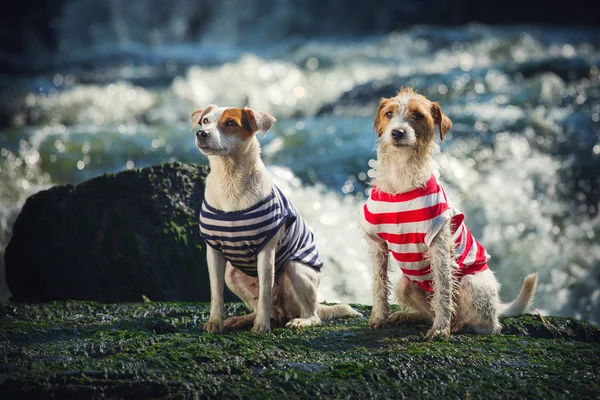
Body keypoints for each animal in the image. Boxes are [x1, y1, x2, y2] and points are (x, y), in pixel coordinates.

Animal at [192, 104, 360, 332]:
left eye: (230, 123)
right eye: (205, 121)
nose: (201, 134)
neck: (230, 180)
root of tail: (284, 312)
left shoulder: (266, 251)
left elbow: (265, 290)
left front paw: (262, 326)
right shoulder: (214, 251)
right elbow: (216, 292)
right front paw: (214, 322)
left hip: (296, 269)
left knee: (312, 314)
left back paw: (299, 320)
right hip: (232, 274)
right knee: (263, 307)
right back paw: (244, 319)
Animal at [360, 86, 540, 338]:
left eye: (417, 115)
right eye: (388, 114)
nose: (397, 132)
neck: (401, 179)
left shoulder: (439, 245)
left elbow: (443, 290)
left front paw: (440, 329)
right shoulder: (378, 244)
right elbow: (378, 283)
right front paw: (379, 317)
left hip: (472, 285)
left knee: (489, 325)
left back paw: (462, 324)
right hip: (405, 284)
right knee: (427, 309)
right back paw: (409, 316)